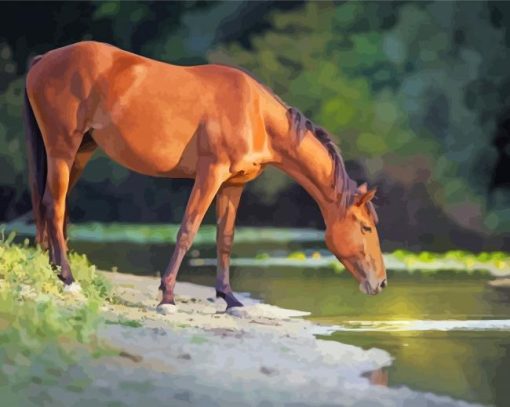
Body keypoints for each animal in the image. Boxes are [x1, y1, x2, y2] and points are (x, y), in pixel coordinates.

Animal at [21, 41, 384, 310]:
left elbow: (225, 238)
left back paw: (57, 270)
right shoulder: (210, 174)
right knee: (54, 206)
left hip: (81, 152)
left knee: (55, 209)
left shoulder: (234, 184)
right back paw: (69, 280)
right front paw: (168, 296)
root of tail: (44, 59)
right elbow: (189, 229)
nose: (380, 282)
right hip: (62, 148)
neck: (255, 114)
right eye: (365, 227)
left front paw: (230, 298)